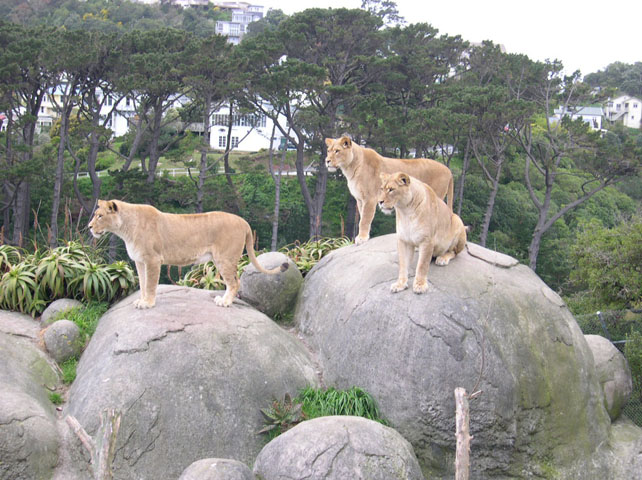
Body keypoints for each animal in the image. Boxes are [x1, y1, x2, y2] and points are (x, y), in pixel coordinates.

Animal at [86, 200, 286, 310]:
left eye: (100, 216)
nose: (89, 227)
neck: (125, 229)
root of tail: (243, 221)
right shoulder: (140, 261)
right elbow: (142, 283)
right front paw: (141, 301)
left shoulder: (153, 260)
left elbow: (150, 285)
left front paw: (148, 304)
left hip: (224, 259)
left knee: (234, 282)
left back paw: (225, 302)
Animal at [322, 137, 452, 246]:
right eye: (328, 151)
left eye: (337, 151)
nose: (327, 161)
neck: (350, 168)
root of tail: (448, 169)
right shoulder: (359, 199)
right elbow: (362, 217)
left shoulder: (370, 198)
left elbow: (365, 219)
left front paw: (362, 238)